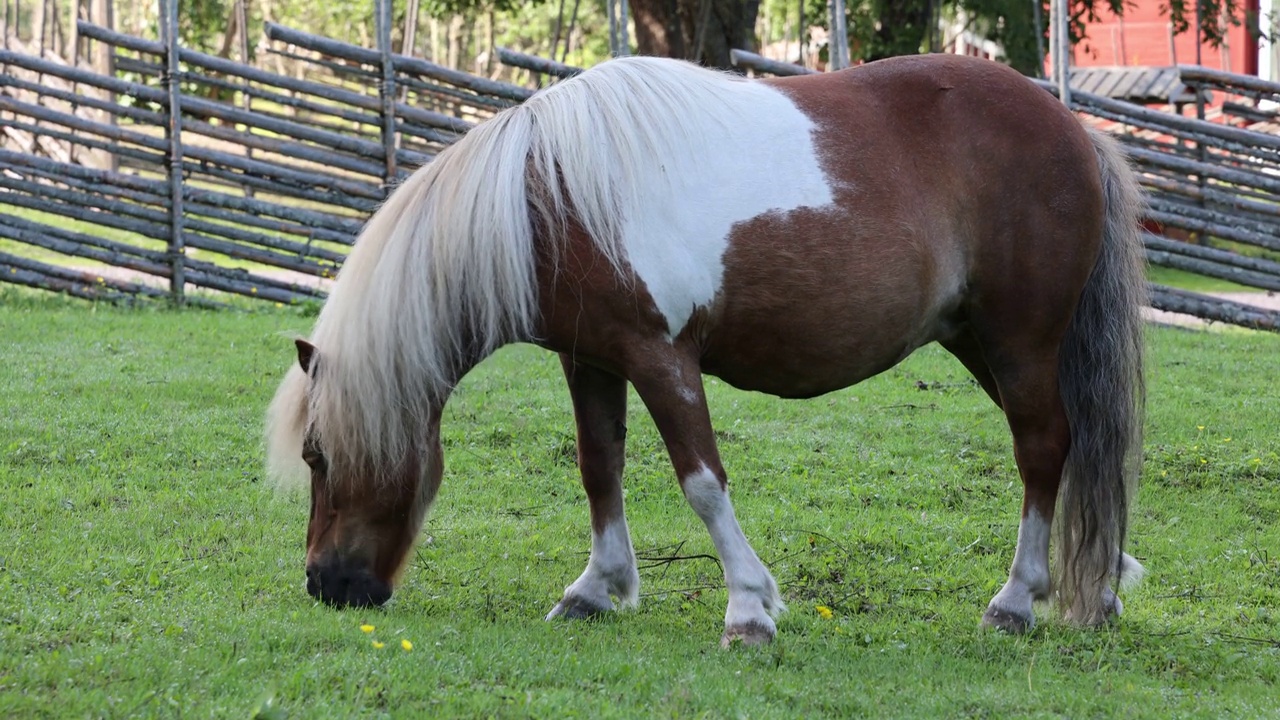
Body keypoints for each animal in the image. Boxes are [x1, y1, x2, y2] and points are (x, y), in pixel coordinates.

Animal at [264, 51, 1146, 645]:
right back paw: (1101, 589)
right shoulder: (590, 359)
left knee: (1042, 449)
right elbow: (599, 469)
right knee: (1074, 447)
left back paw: (1017, 601)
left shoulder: (661, 358)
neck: (550, 196)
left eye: (317, 455)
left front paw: (748, 607)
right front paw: (595, 590)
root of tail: (1072, 128)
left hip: (1019, 340)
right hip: (984, 344)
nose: (326, 584)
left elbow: (702, 484)